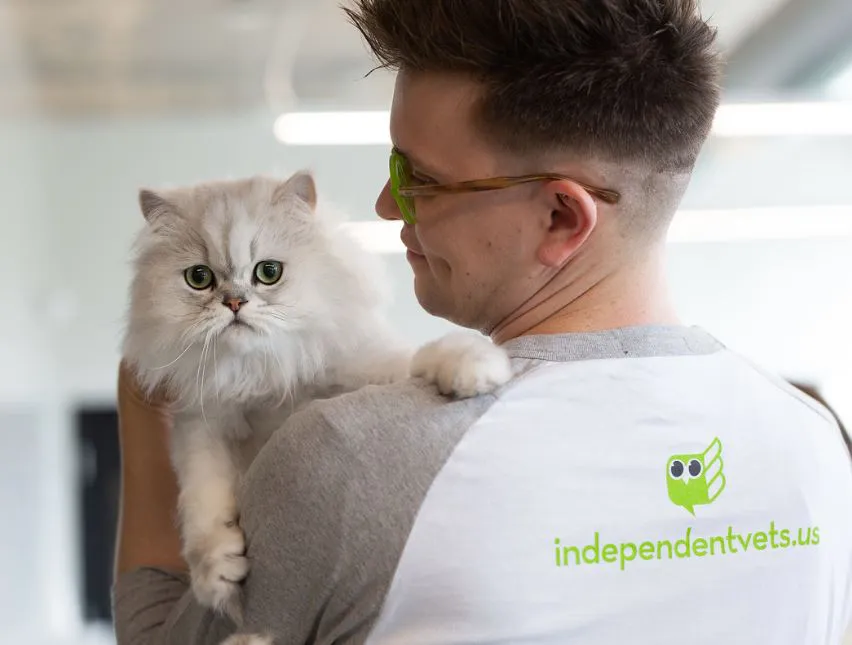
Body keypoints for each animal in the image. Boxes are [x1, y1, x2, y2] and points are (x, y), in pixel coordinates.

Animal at [121, 169, 512, 628]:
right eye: (199, 278)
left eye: (268, 272)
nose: (234, 302)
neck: (261, 376)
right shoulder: (201, 425)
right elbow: (203, 504)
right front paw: (218, 578)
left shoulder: (357, 366)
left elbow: (418, 358)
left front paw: (476, 367)